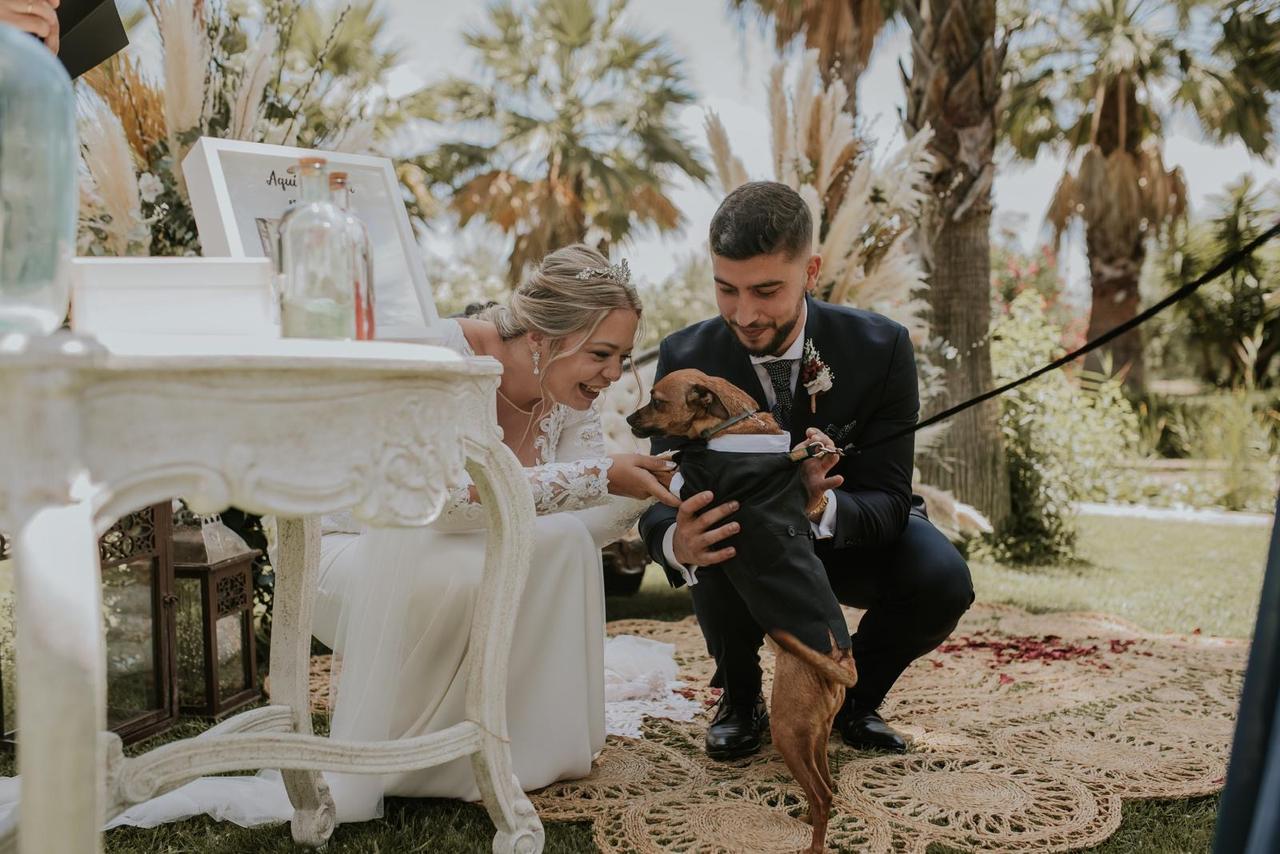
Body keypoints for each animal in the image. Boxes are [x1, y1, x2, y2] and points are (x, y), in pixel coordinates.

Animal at [629, 368, 860, 854]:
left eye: (657, 401)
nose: (626, 420)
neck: (734, 425)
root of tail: (839, 660)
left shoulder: (692, 487)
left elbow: (671, 472)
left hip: (791, 733)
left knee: (821, 795)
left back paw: (812, 845)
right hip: (815, 734)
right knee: (828, 788)